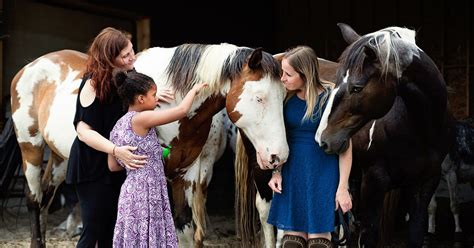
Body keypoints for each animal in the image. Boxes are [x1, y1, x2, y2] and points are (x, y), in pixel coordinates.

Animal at [10, 43, 288, 247]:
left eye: (284, 96)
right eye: (259, 97)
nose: (279, 155)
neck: (171, 101)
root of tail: (30, 67)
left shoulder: (187, 173)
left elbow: (184, 227)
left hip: (60, 159)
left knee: (46, 197)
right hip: (30, 148)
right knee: (34, 199)